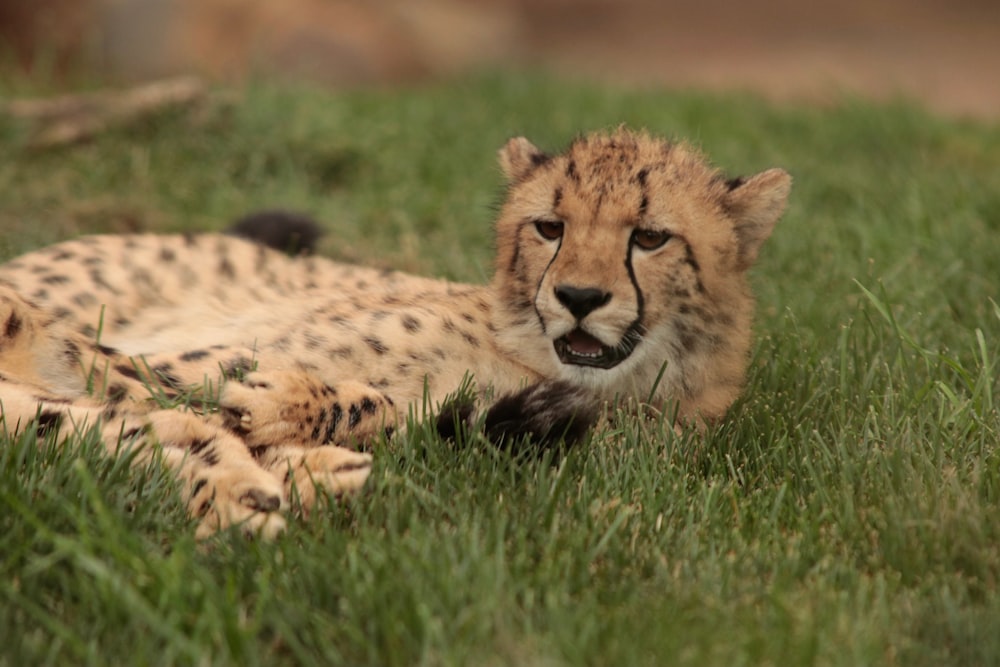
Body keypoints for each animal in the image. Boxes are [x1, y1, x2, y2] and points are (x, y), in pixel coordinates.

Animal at [0, 129, 788, 536]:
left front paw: (293, 427)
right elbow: (148, 388)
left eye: (649, 237)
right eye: (550, 227)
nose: (579, 297)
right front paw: (285, 413)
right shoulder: (179, 361)